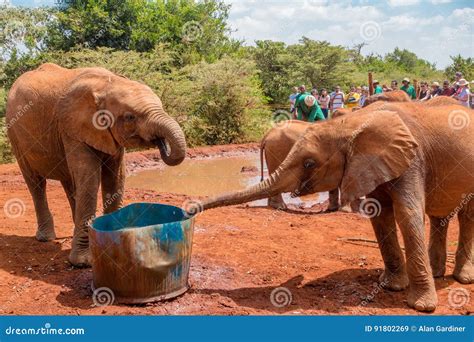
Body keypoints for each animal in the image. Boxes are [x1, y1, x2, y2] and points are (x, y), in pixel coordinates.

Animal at [6, 63, 187, 268]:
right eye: (130, 117)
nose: (161, 144)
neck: (107, 84)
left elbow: (116, 177)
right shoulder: (72, 128)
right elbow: (90, 178)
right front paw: (83, 263)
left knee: (70, 182)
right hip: (15, 134)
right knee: (36, 183)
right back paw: (45, 238)